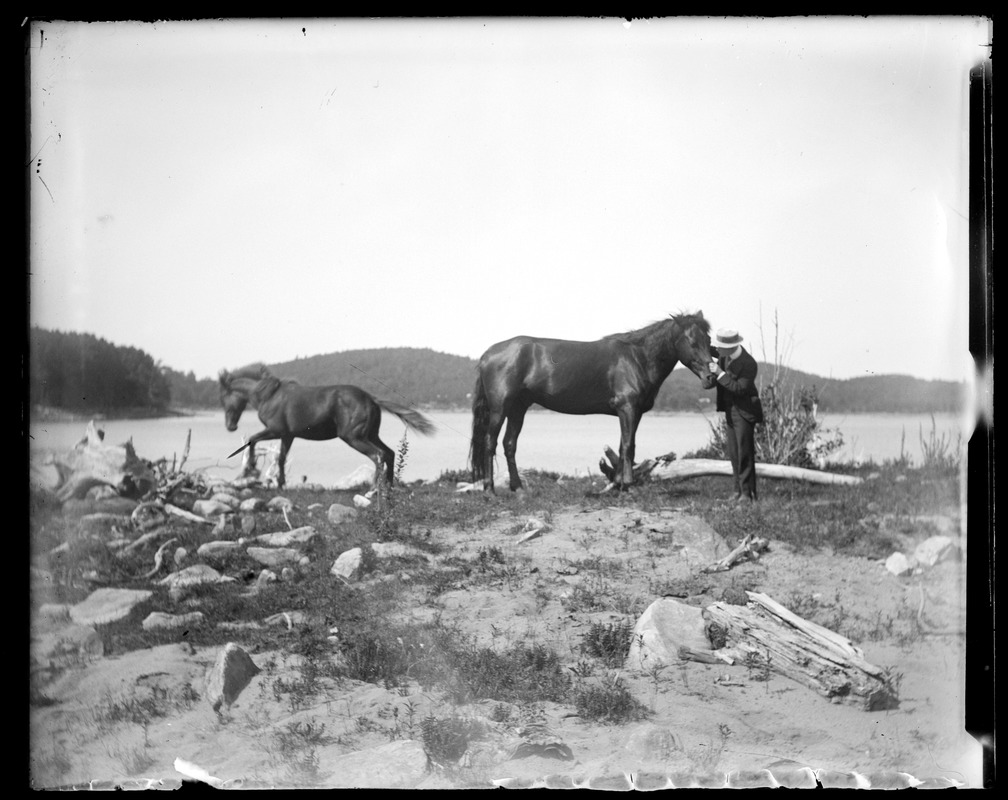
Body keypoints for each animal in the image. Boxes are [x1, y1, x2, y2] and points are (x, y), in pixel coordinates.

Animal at [218, 364, 435, 489]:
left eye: (223, 398)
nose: (230, 426)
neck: (269, 396)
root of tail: (371, 399)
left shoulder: (276, 430)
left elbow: (252, 440)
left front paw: (251, 469)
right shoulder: (288, 435)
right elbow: (281, 458)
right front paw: (280, 483)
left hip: (354, 437)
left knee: (378, 455)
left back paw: (374, 489)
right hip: (370, 435)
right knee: (389, 453)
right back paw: (388, 487)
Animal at [469, 310, 717, 485]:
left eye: (709, 340)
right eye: (692, 341)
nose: (711, 377)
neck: (637, 358)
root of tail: (487, 354)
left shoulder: (632, 412)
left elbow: (624, 445)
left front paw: (618, 483)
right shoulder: (627, 408)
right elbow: (628, 446)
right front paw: (627, 484)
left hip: (518, 407)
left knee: (509, 444)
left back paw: (518, 489)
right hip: (500, 408)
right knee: (490, 442)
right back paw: (490, 489)